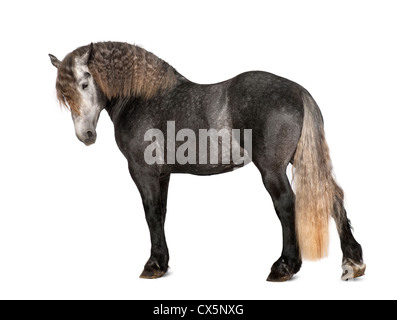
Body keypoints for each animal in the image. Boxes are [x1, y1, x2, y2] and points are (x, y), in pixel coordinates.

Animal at [49, 41, 366, 282]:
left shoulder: (142, 172)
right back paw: (353, 262)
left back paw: (284, 267)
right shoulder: (163, 175)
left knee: (287, 205)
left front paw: (153, 265)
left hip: (272, 170)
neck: (142, 98)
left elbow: (151, 213)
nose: (86, 135)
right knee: (333, 196)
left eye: (85, 83)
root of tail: (299, 92)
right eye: (65, 94)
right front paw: (162, 262)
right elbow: (161, 213)